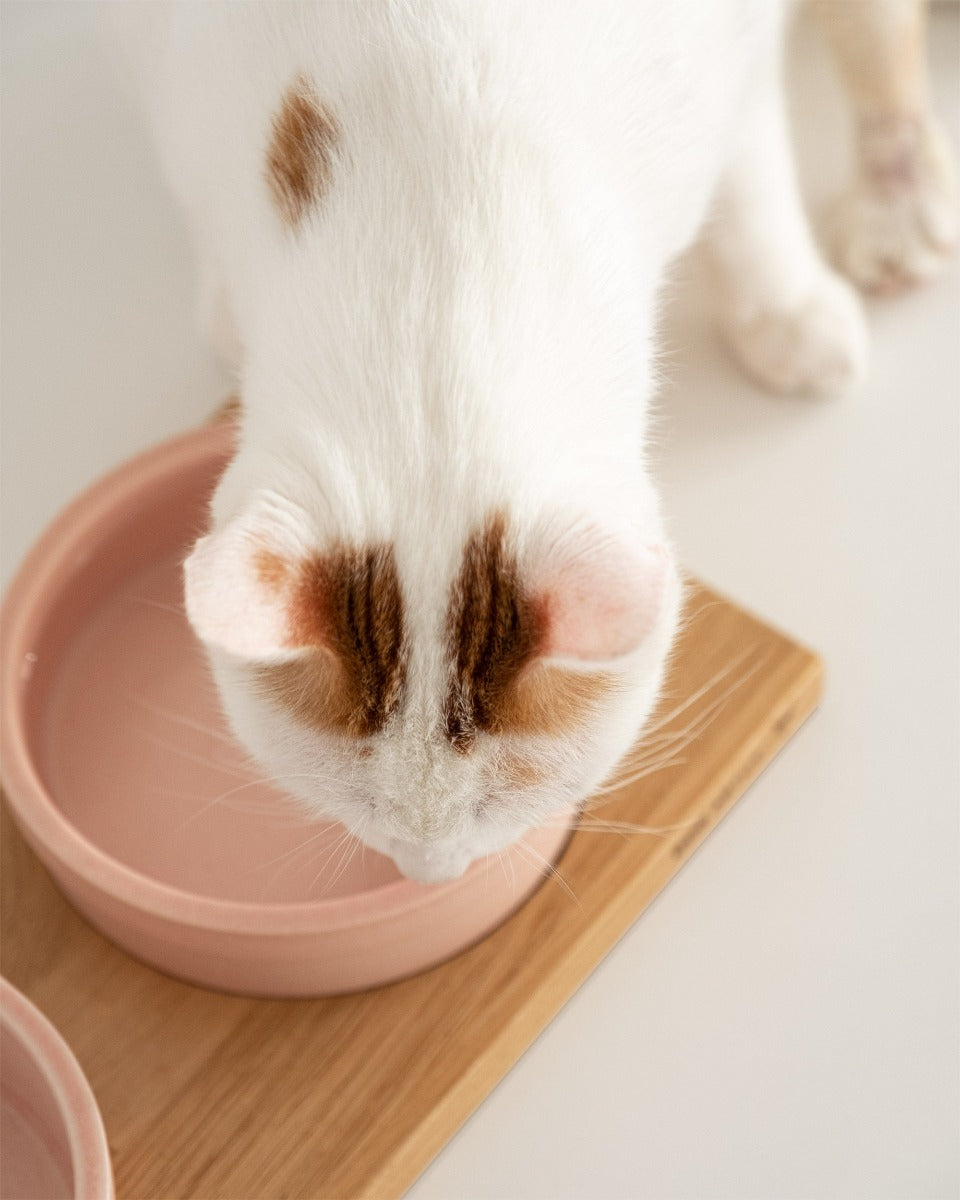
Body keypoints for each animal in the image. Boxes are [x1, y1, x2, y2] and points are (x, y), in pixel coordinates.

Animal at [110, 0, 950, 883]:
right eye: (359, 806)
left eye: (500, 804)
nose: (432, 872)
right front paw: (225, 316)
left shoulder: (738, 58)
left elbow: (752, 190)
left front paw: (783, 309)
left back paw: (900, 204)